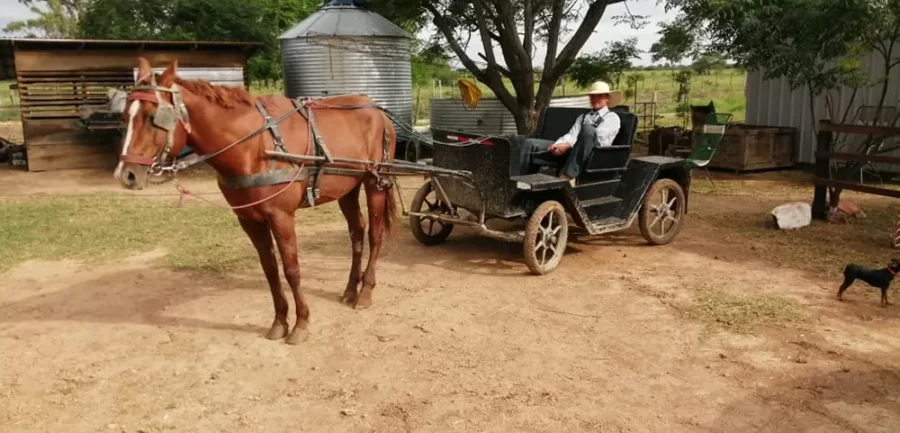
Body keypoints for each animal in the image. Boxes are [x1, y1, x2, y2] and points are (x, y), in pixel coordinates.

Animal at [113, 58, 398, 344]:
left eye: (153, 118)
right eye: (126, 116)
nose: (126, 175)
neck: (255, 146)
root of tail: (378, 111)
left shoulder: (281, 217)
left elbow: (291, 269)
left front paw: (301, 323)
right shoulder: (249, 219)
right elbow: (270, 270)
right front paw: (280, 322)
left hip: (375, 183)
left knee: (375, 235)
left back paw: (365, 292)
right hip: (348, 188)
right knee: (356, 233)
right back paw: (351, 289)